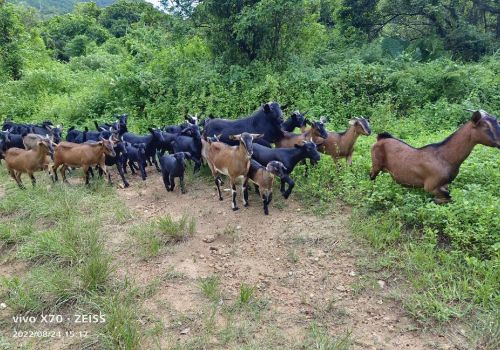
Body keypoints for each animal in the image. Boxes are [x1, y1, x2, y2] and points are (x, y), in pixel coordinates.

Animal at [370, 110, 500, 204]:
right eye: (486, 126)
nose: (499, 142)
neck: (445, 157)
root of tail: (380, 138)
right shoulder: (430, 186)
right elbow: (448, 197)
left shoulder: (445, 184)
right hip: (376, 164)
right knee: (372, 176)